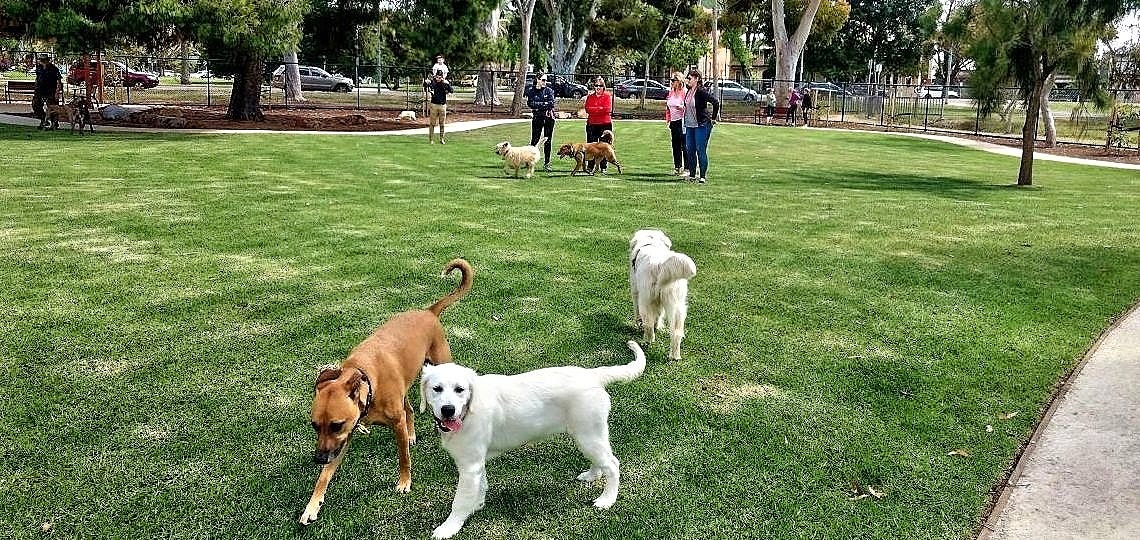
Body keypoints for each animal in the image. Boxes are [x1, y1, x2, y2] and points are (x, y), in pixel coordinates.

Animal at [300, 259, 474, 526]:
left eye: (336, 424)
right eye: (314, 425)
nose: (319, 458)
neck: (365, 377)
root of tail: (428, 312)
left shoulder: (389, 425)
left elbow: (404, 458)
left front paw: (404, 482)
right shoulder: (342, 439)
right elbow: (325, 476)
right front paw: (312, 506)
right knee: (409, 408)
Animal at [421, 339, 652, 537]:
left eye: (460, 390)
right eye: (437, 389)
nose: (448, 410)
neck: (468, 411)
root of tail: (592, 375)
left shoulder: (469, 465)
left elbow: (459, 501)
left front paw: (449, 527)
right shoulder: (476, 462)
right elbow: (480, 485)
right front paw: (477, 505)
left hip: (588, 432)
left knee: (612, 464)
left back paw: (607, 500)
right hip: (587, 433)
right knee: (602, 460)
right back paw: (592, 475)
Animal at [633, 227, 693, 357]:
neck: (650, 242)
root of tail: (660, 264)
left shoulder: (635, 290)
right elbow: (659, 314)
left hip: (646, 300)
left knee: (648, 324)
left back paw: (648, 340)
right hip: (677, 305)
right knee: (676, 332)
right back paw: (675, 356)